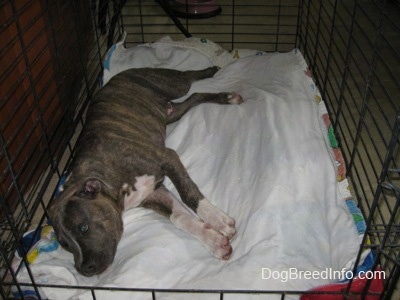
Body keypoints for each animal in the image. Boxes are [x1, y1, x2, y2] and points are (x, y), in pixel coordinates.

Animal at [47, 67, 241, 276]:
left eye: (83, 227)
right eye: (66, 245)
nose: (84, 269)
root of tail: (114, 79)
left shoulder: (167, 157)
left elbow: (189, 193)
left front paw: (217, 219)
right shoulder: (154, 193)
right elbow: (180, 218)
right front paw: (214, 241)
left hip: (173, 85)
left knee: (188, 78)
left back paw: (214, 76)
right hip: (172, 113)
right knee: (193, 97)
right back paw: (225, 96)